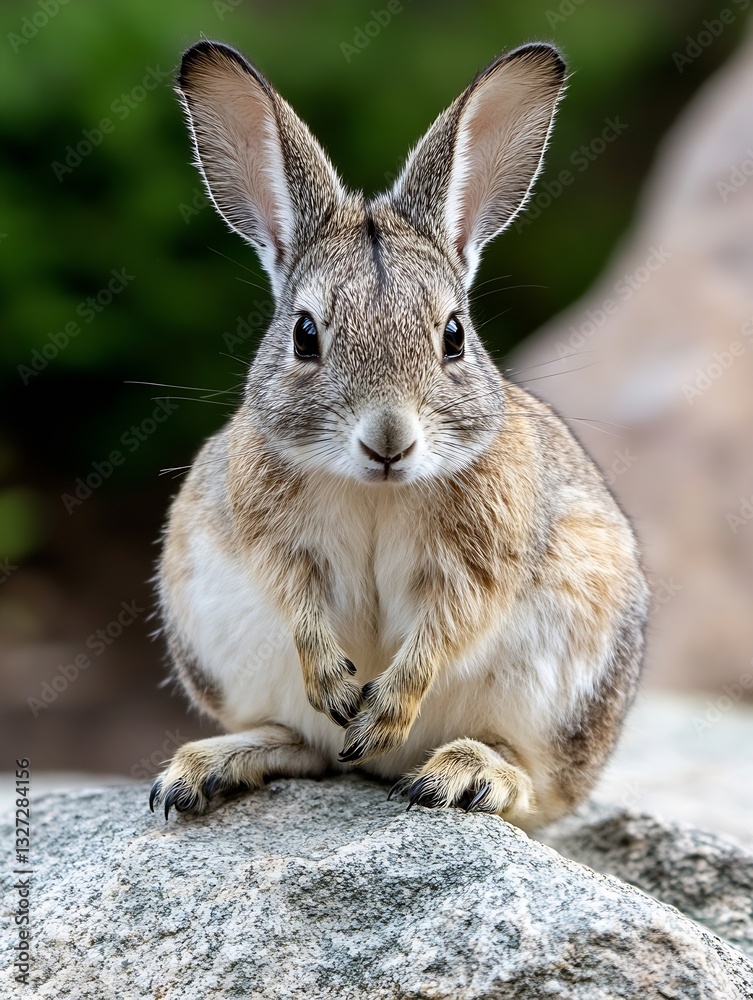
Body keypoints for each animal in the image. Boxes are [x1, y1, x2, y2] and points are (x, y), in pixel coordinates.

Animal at [149, 38, 649, 832]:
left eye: (454, 335)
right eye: (305, 334)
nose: (389, 441)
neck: (376, 490)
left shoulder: (479, 565)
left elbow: (443, 631)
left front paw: (383, 709)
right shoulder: (270, 545)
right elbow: (299, 604)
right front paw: (340, 687)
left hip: (567, 694)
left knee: (537, 788)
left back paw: (463, 776)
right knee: (311, 748)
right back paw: (209, 769)